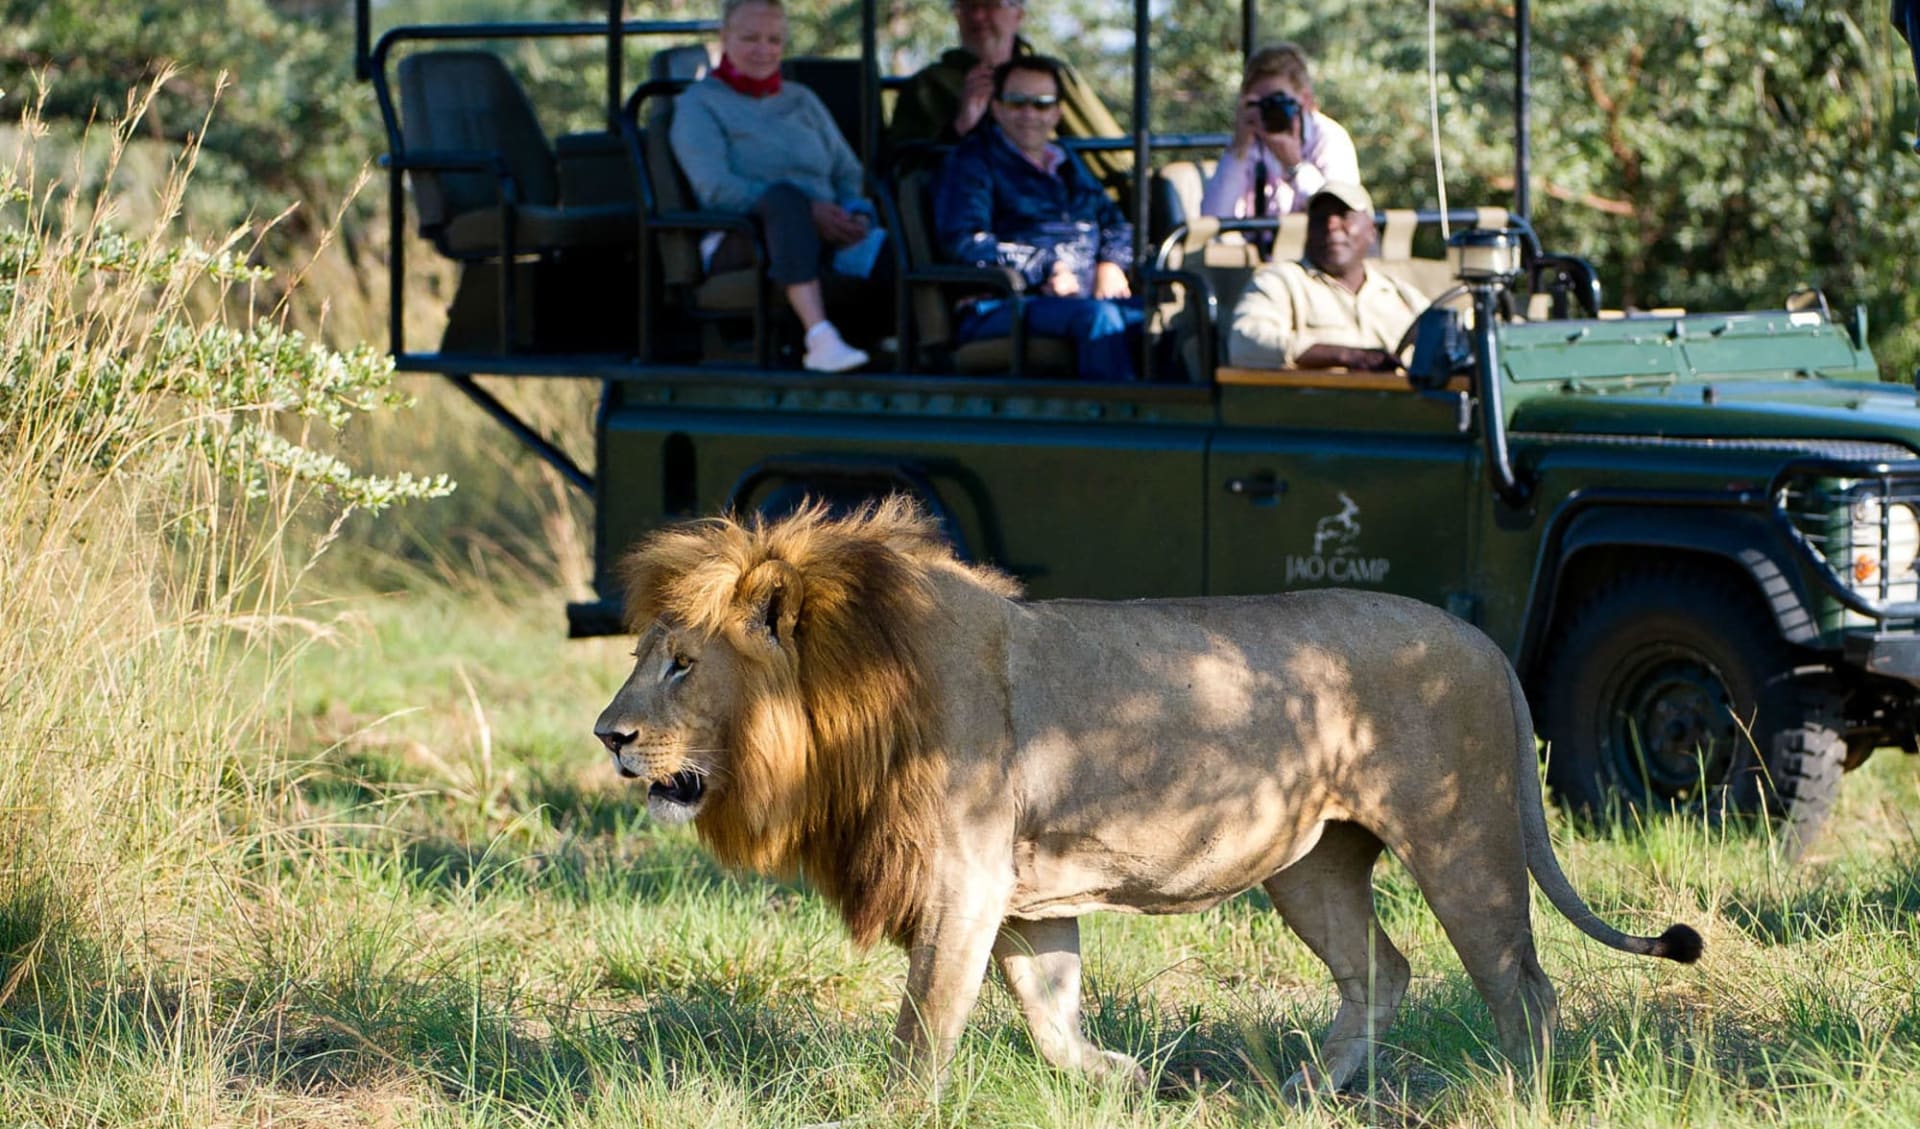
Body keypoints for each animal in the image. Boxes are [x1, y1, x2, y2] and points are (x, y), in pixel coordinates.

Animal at [587, 499, 1697, 1090]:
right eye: (644, 655)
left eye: (682, 663)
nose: (608, 735)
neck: (841, 714)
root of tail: (1484, 643)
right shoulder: (1023, 901)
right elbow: (1048, 1015)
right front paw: (1125, 1080)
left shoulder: (961, 885)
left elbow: (924, 1027)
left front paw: (899, 1105)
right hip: (1312, 863)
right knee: (1382, 969)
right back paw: (1306, 1090)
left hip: (1461, 840)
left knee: (1522, 984)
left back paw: (1522, 1091)